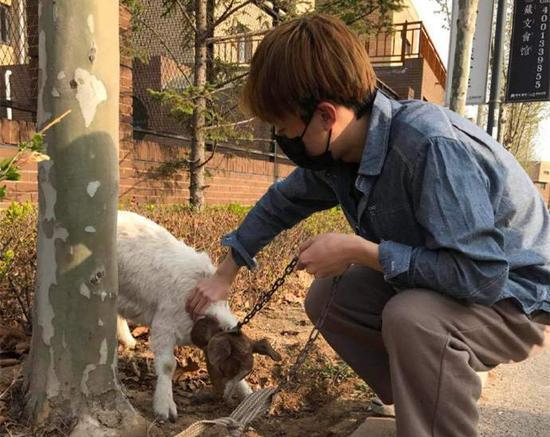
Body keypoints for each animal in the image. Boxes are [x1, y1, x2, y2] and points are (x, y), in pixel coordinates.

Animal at [116, 211, 280, 418]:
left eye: (245, 372)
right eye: (222, 368)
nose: (223, 398)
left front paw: (250, 396)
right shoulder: (164, 325)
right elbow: (168, 365)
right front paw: (165, 408)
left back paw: (128, 341)